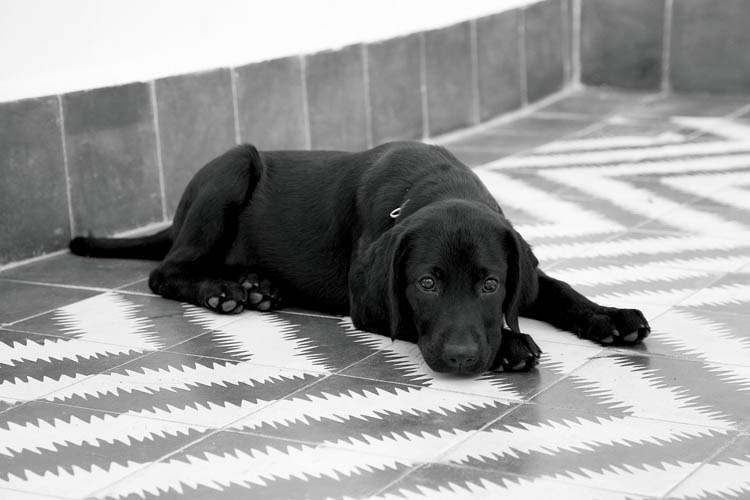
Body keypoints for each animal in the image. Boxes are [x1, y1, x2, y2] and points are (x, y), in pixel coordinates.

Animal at [70, 142, 650, 375]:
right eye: (426, 284)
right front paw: (511, 345)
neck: (432, 185)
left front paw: (610, 317)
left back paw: (254, 284)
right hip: (232, 169)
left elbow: (555, 289)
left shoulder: (521, 273)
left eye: (490, 285)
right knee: (164, 272)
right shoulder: (368, 304)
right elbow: (408, 320)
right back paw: (224, 290)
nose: (462, 359)